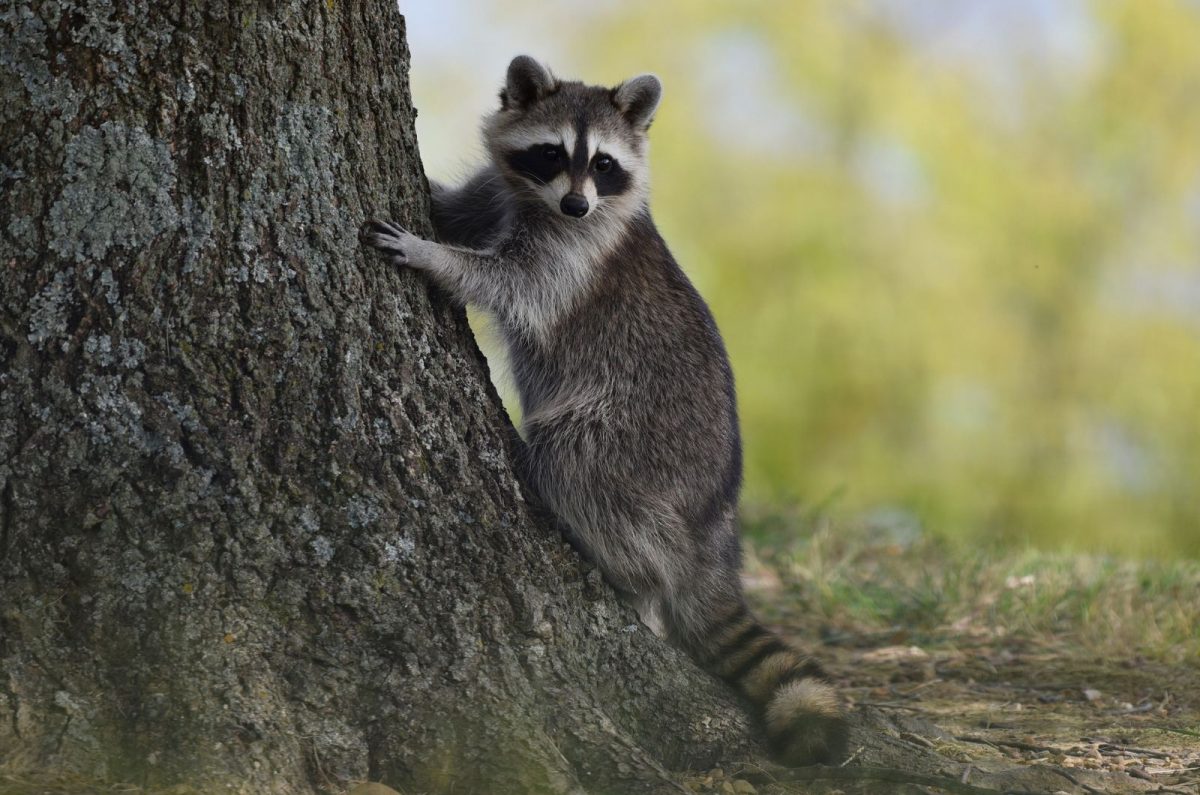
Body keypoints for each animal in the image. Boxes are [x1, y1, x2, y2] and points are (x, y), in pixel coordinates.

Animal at [363, 55, 848, 766]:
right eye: (552, 154)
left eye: (605, 164)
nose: (576, 203)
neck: (540, 202)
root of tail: (715, 519)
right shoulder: (499, 193)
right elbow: (454, 209)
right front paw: (432, 203)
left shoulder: (573, 257)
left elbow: (509, 284)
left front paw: (433, 256)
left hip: (634, 438)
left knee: (575, 465)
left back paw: (635, 574)